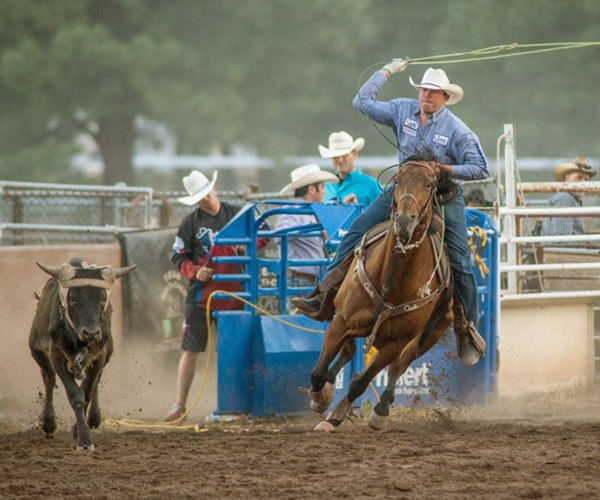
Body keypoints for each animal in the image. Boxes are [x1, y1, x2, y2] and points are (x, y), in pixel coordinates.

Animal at [310, 158, 454, 432]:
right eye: (397, 180)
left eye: (429, 184)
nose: (404, 221)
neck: (392, 279)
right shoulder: (341, 321)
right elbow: (318, 372)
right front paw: (320, 397)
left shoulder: (394, 344)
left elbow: (361, 381)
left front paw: (337, 415)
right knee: (348, 351)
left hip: (431, 334)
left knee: (398, 367)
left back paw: (381, 408)